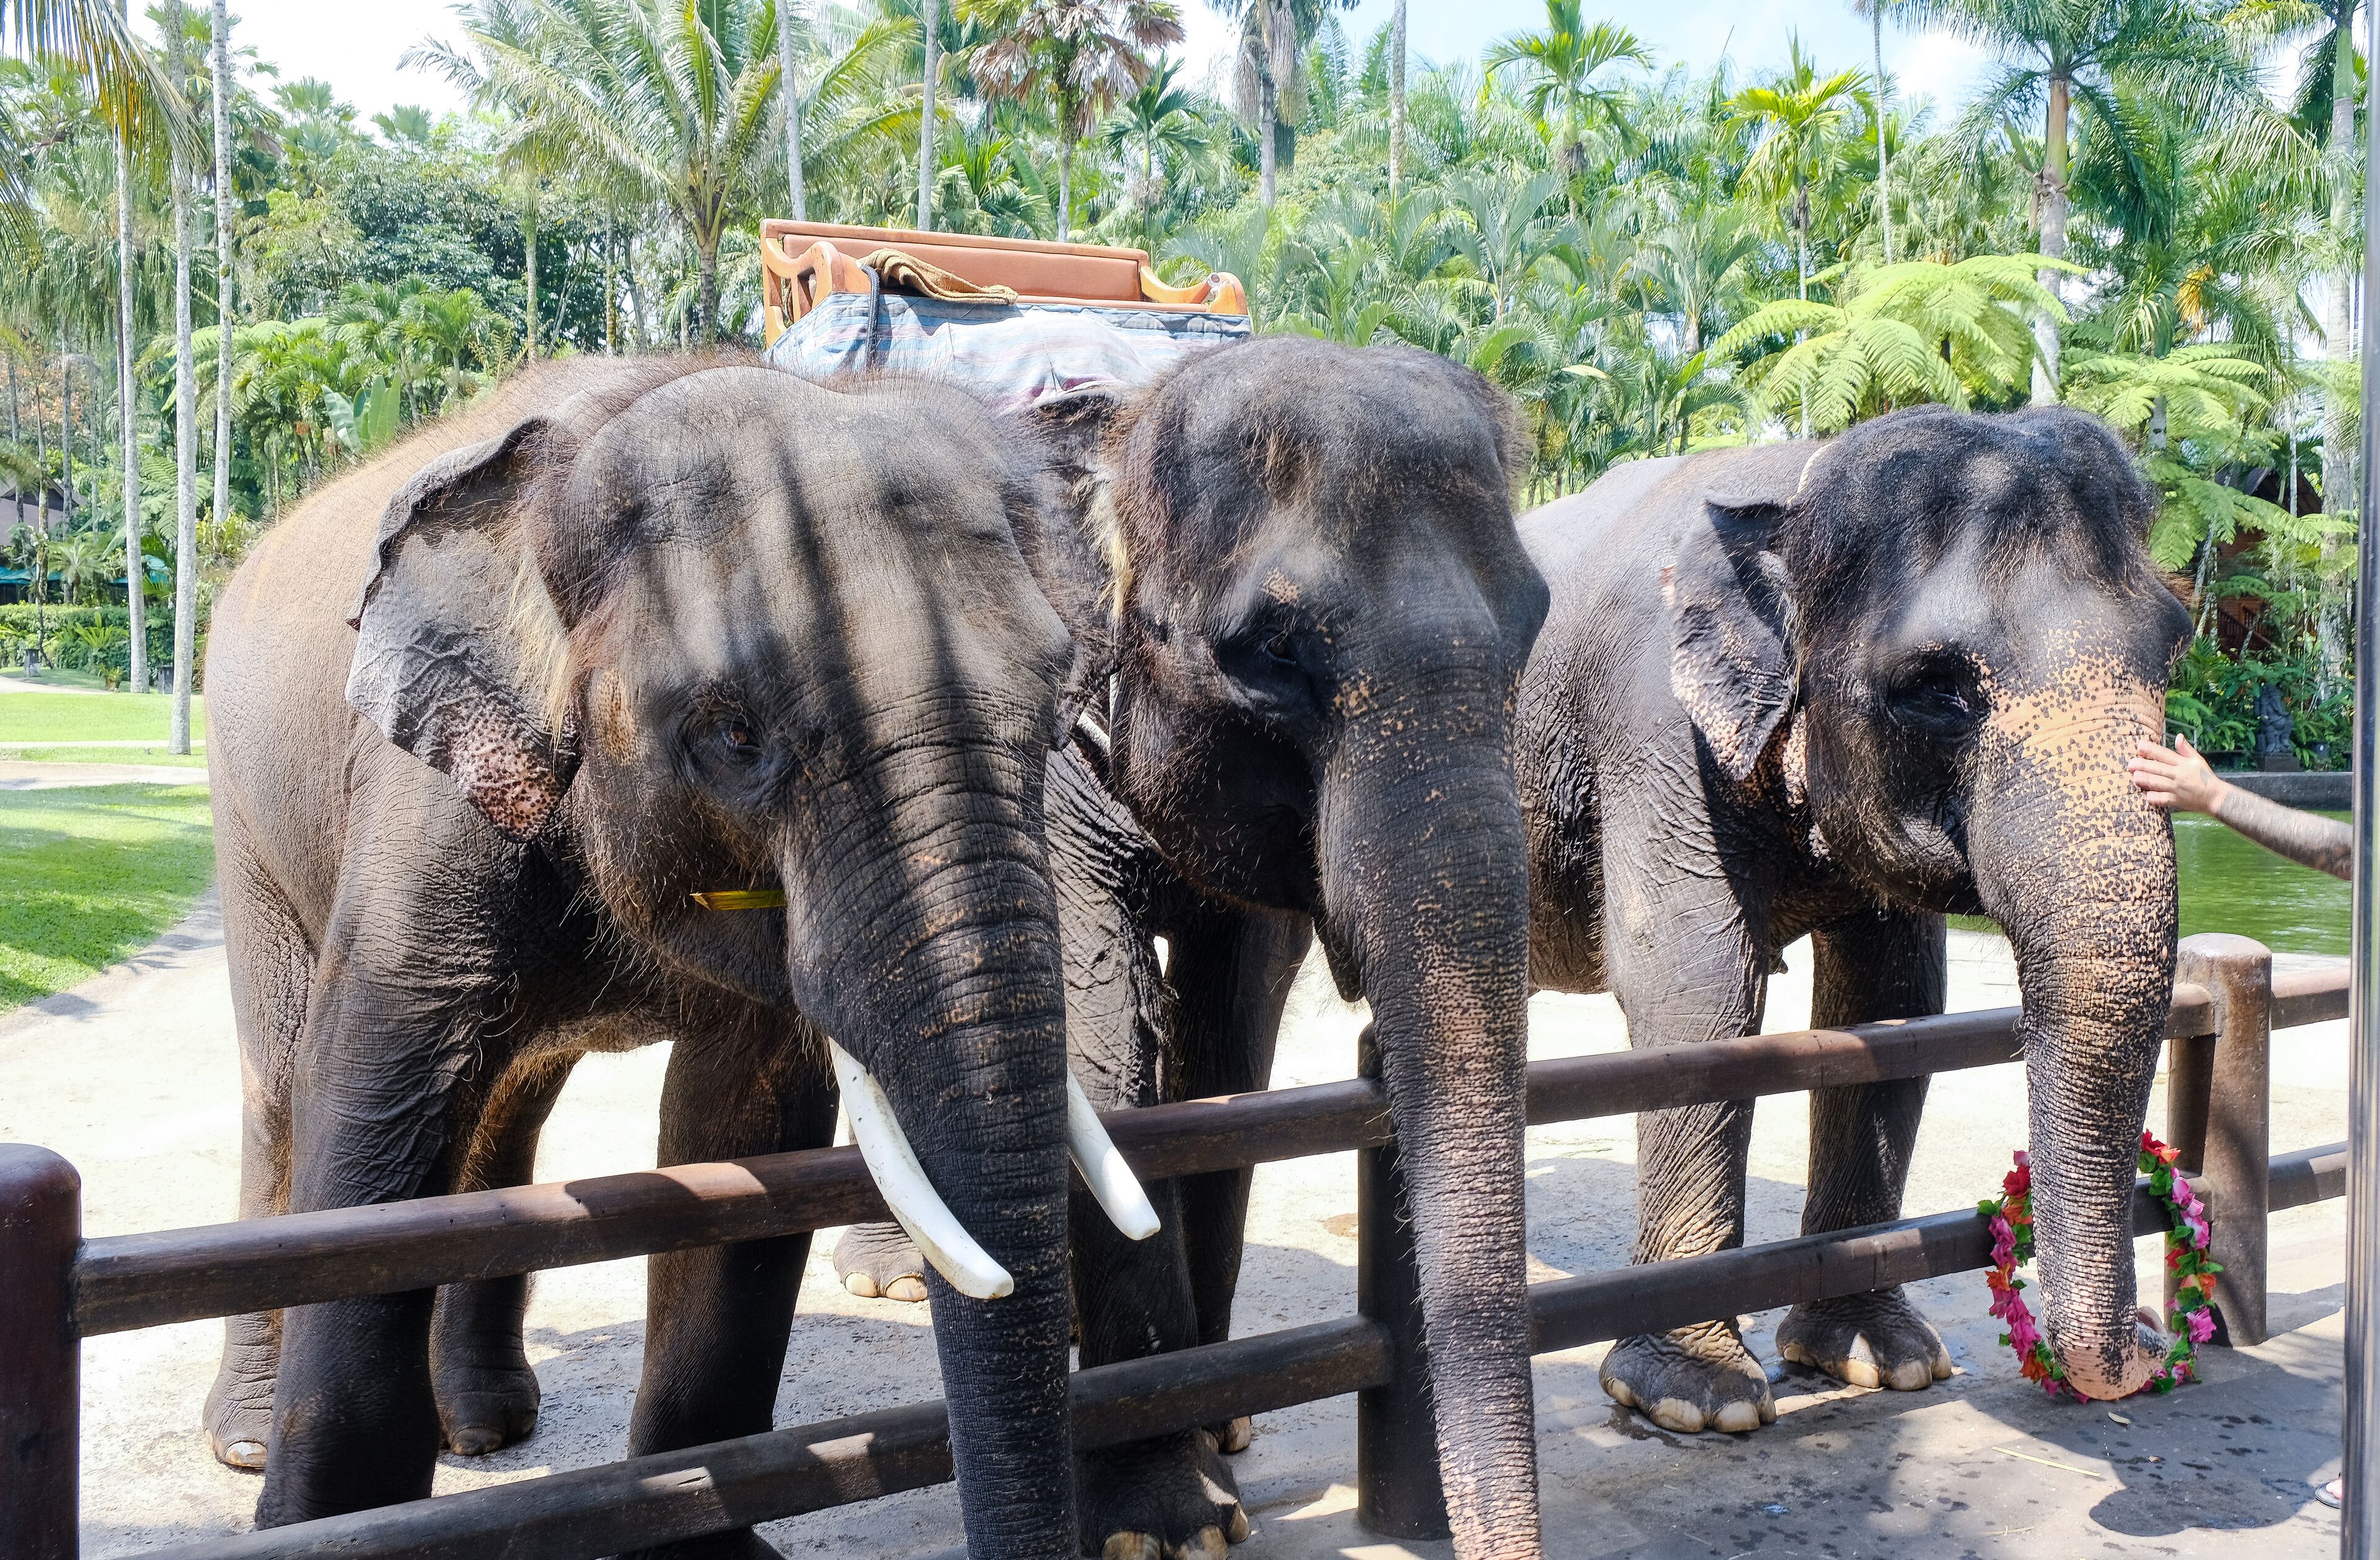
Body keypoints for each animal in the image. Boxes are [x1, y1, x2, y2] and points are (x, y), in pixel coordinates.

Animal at [197, 354, 1147, 1558]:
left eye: (1057, 710)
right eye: (735, 735)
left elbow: (742, 1128)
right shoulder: (422, 805)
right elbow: (375, 1108)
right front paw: (325, 1522)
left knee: (512, 1097)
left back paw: (486, 1424)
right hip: (246, 821)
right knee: (284, 1090)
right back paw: (248, 1441)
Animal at [830, 336, 1556, 1559]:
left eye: (1535, 624)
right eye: (1272, 653)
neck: (1125, 413)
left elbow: (1230, 1046)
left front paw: (1224, 1429)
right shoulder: (1035, 767)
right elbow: (1098, 1045)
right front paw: (1165, 1525)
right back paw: (892, 1277)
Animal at [1515, 405, 2192, 1435]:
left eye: (2174, 649)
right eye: (1935, 688)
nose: (2153, 1339)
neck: (1797, 483)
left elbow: (1892, 1000)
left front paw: (1885, 1361)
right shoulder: (1654, 730)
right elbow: (1695, 984)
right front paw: (1696, 1399)